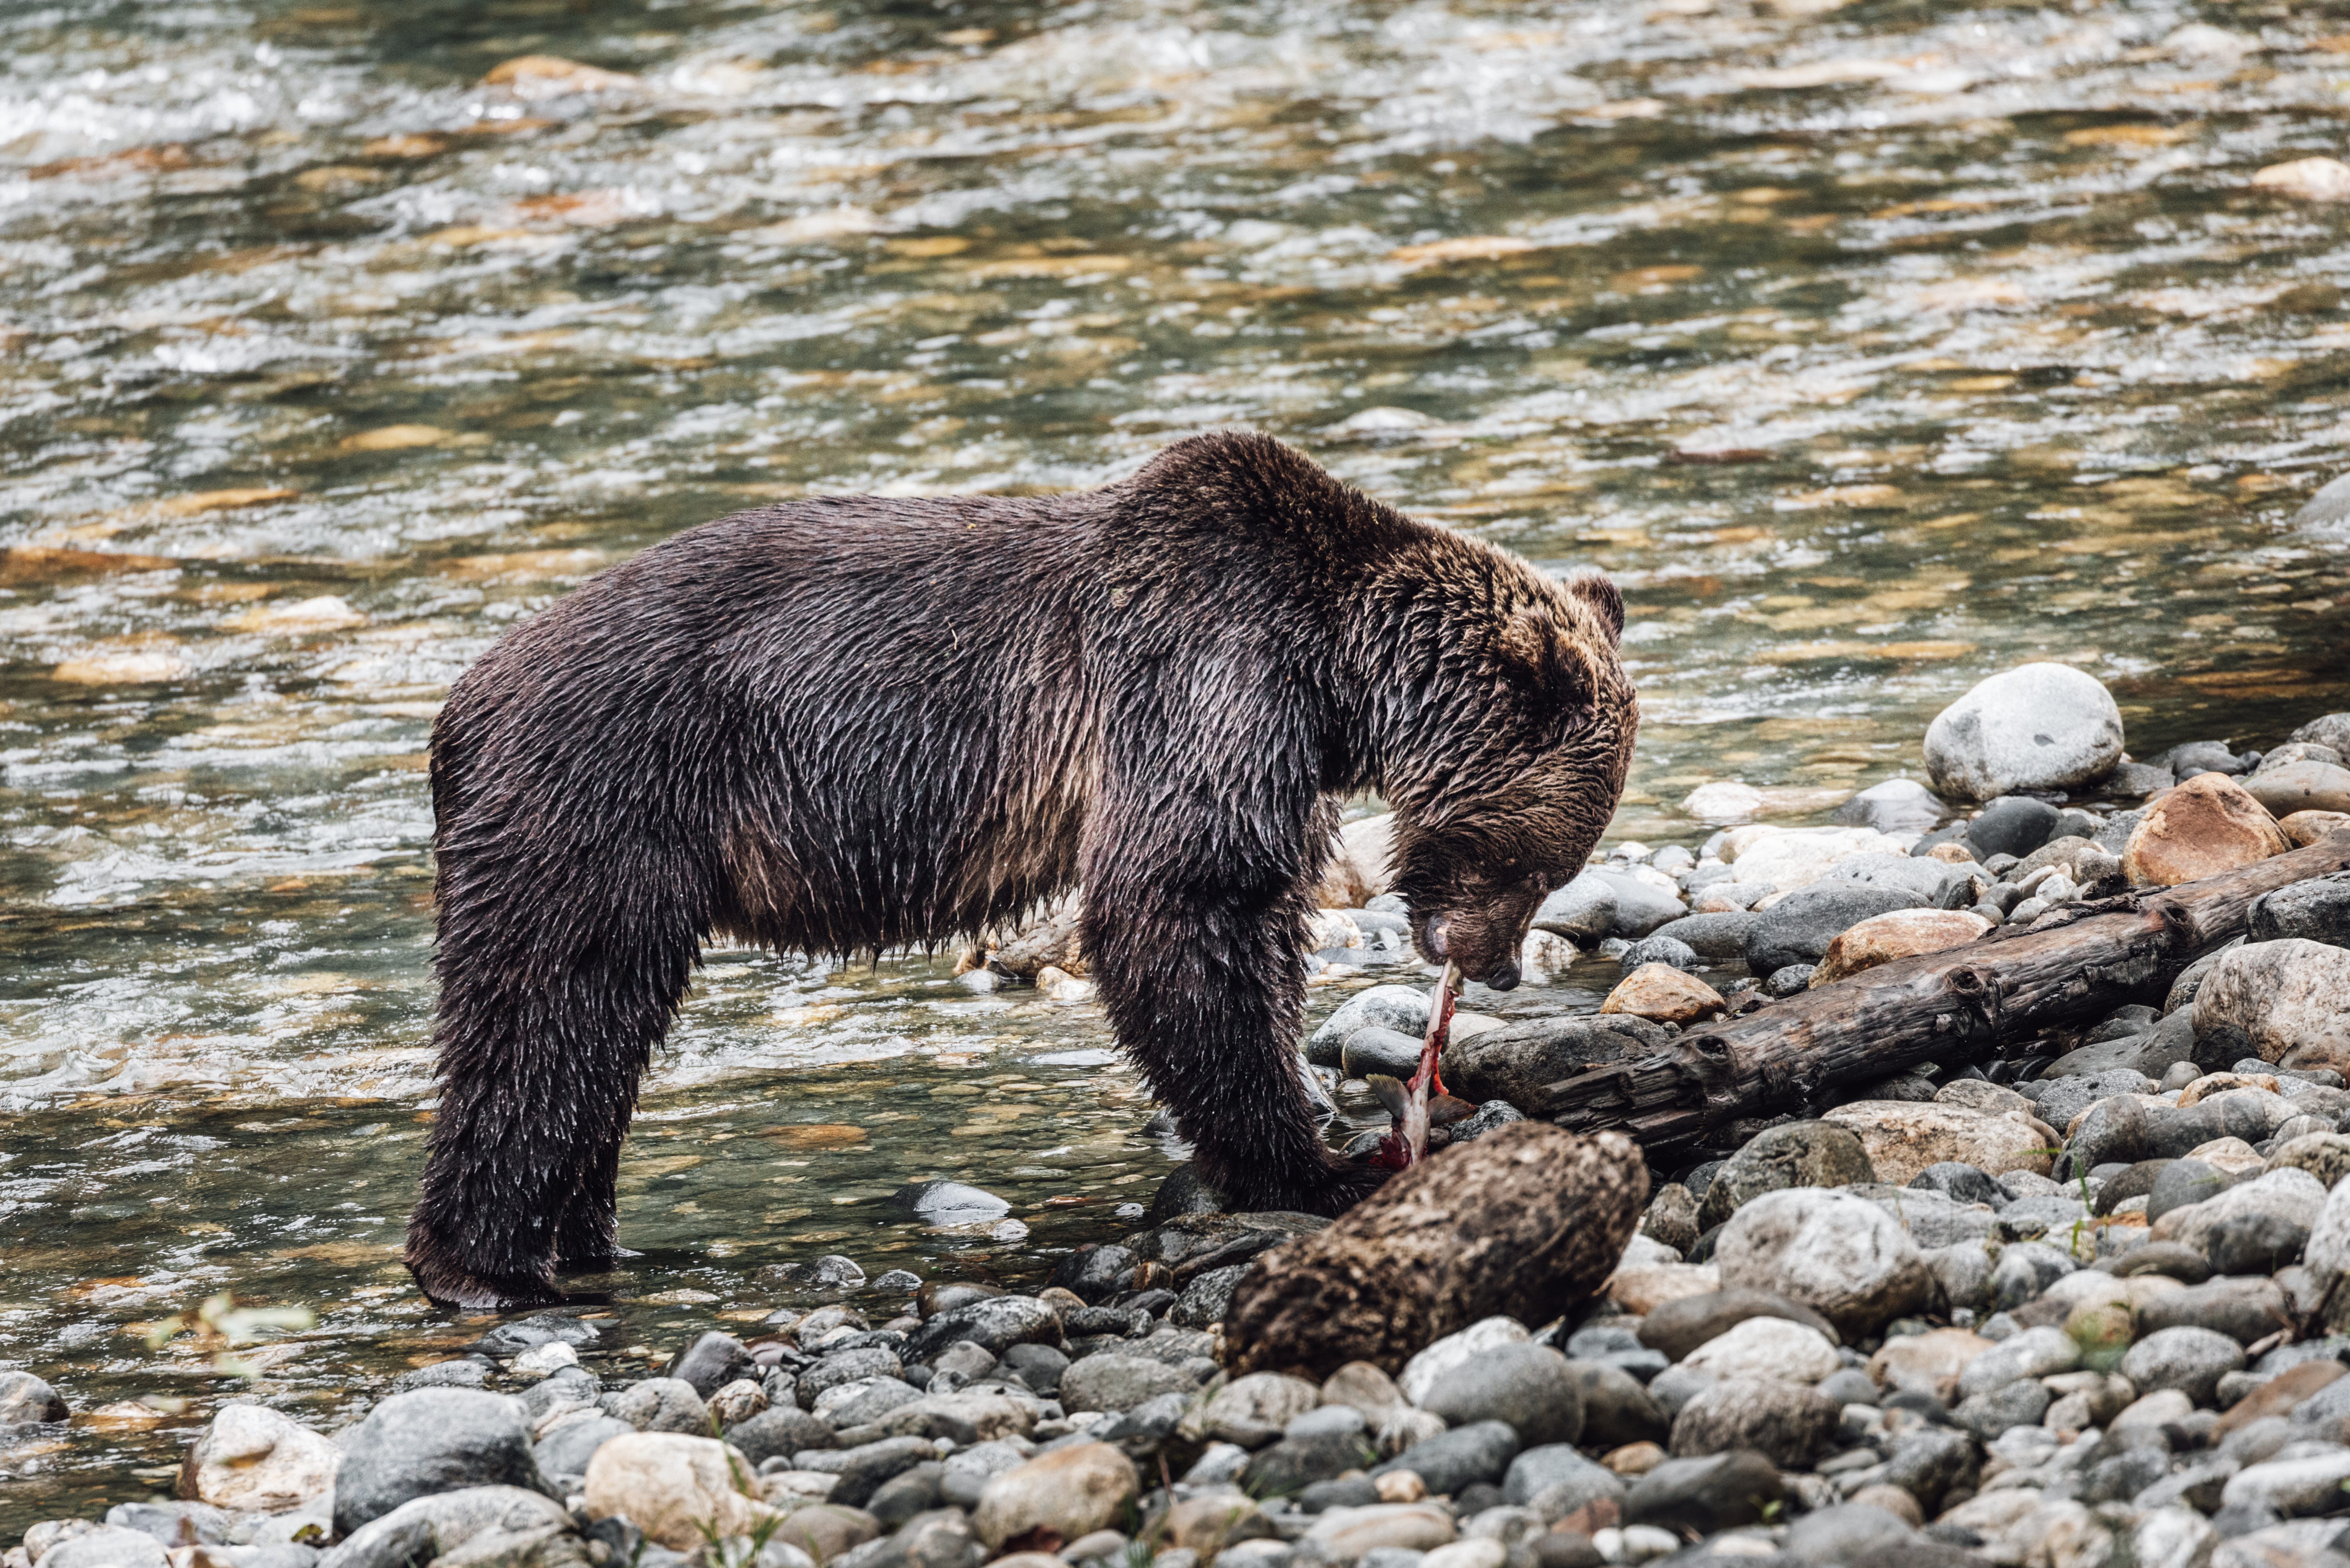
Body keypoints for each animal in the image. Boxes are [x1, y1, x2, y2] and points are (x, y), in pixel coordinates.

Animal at [406, 431, 1637, 1308]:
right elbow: (1178, 907)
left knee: (600, 1036)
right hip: (599, 802)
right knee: (544, 1011)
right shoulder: (1198, 683)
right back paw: (486, 1268)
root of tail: (457, 708)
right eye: (1537, 857)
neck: (1337, 679)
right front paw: (1313, 1162)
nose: (1494, 964)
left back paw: (590, 1243)